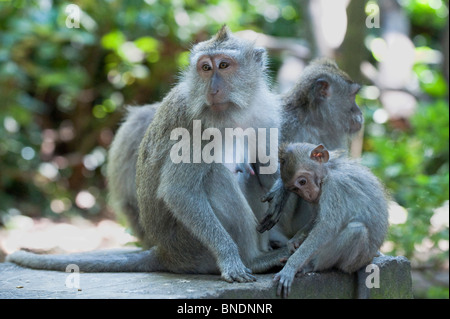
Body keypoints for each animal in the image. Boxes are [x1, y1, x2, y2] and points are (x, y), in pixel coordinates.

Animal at [262, 144, 388, 298]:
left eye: (303, 181)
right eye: (295, 189)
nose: (307, 195)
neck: (329, 170)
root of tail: (367, 261)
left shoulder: (334, 187)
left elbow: (326, 227)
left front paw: (291, 266)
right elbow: (316, 218)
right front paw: (295, 240)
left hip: (355, 260)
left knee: (356, 230)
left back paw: (310, 266)